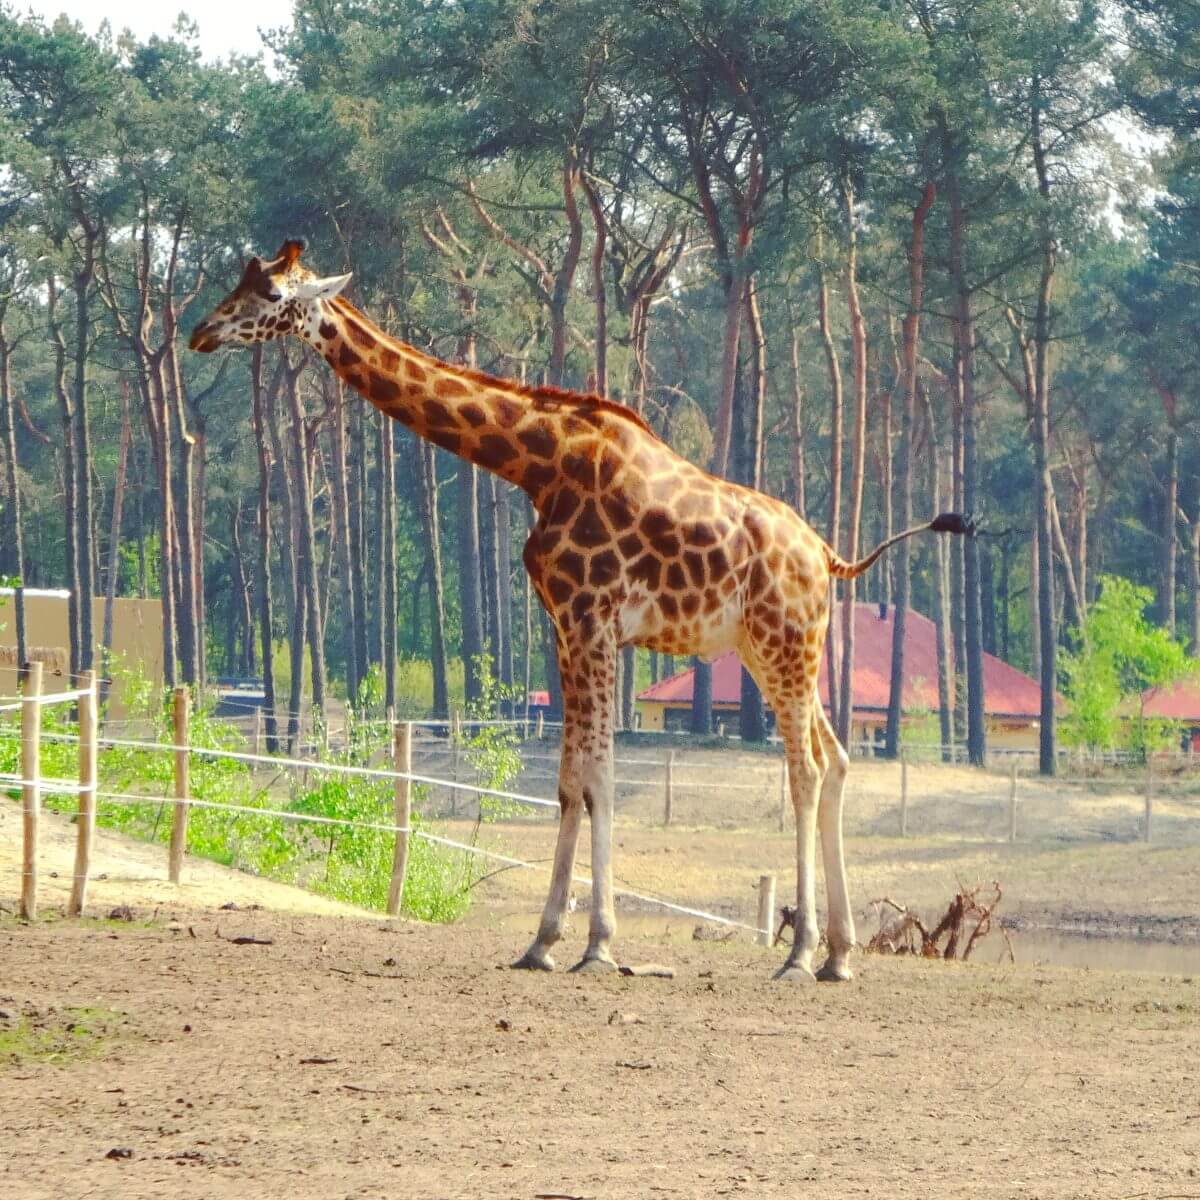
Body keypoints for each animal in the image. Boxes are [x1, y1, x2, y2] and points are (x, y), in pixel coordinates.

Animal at [189, 243, 974, 984]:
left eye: (269, 294)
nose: (199, 331)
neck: (538, 465)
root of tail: (829, 556)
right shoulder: (564, 624)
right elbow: (571, 781)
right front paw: (542, 943)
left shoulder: (590, 617)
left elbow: (596, 778)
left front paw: (595, 944)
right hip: (770, 650)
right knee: (837, 759)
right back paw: (839, 955)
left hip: (788, 643)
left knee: (806, 770)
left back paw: (800, 954)